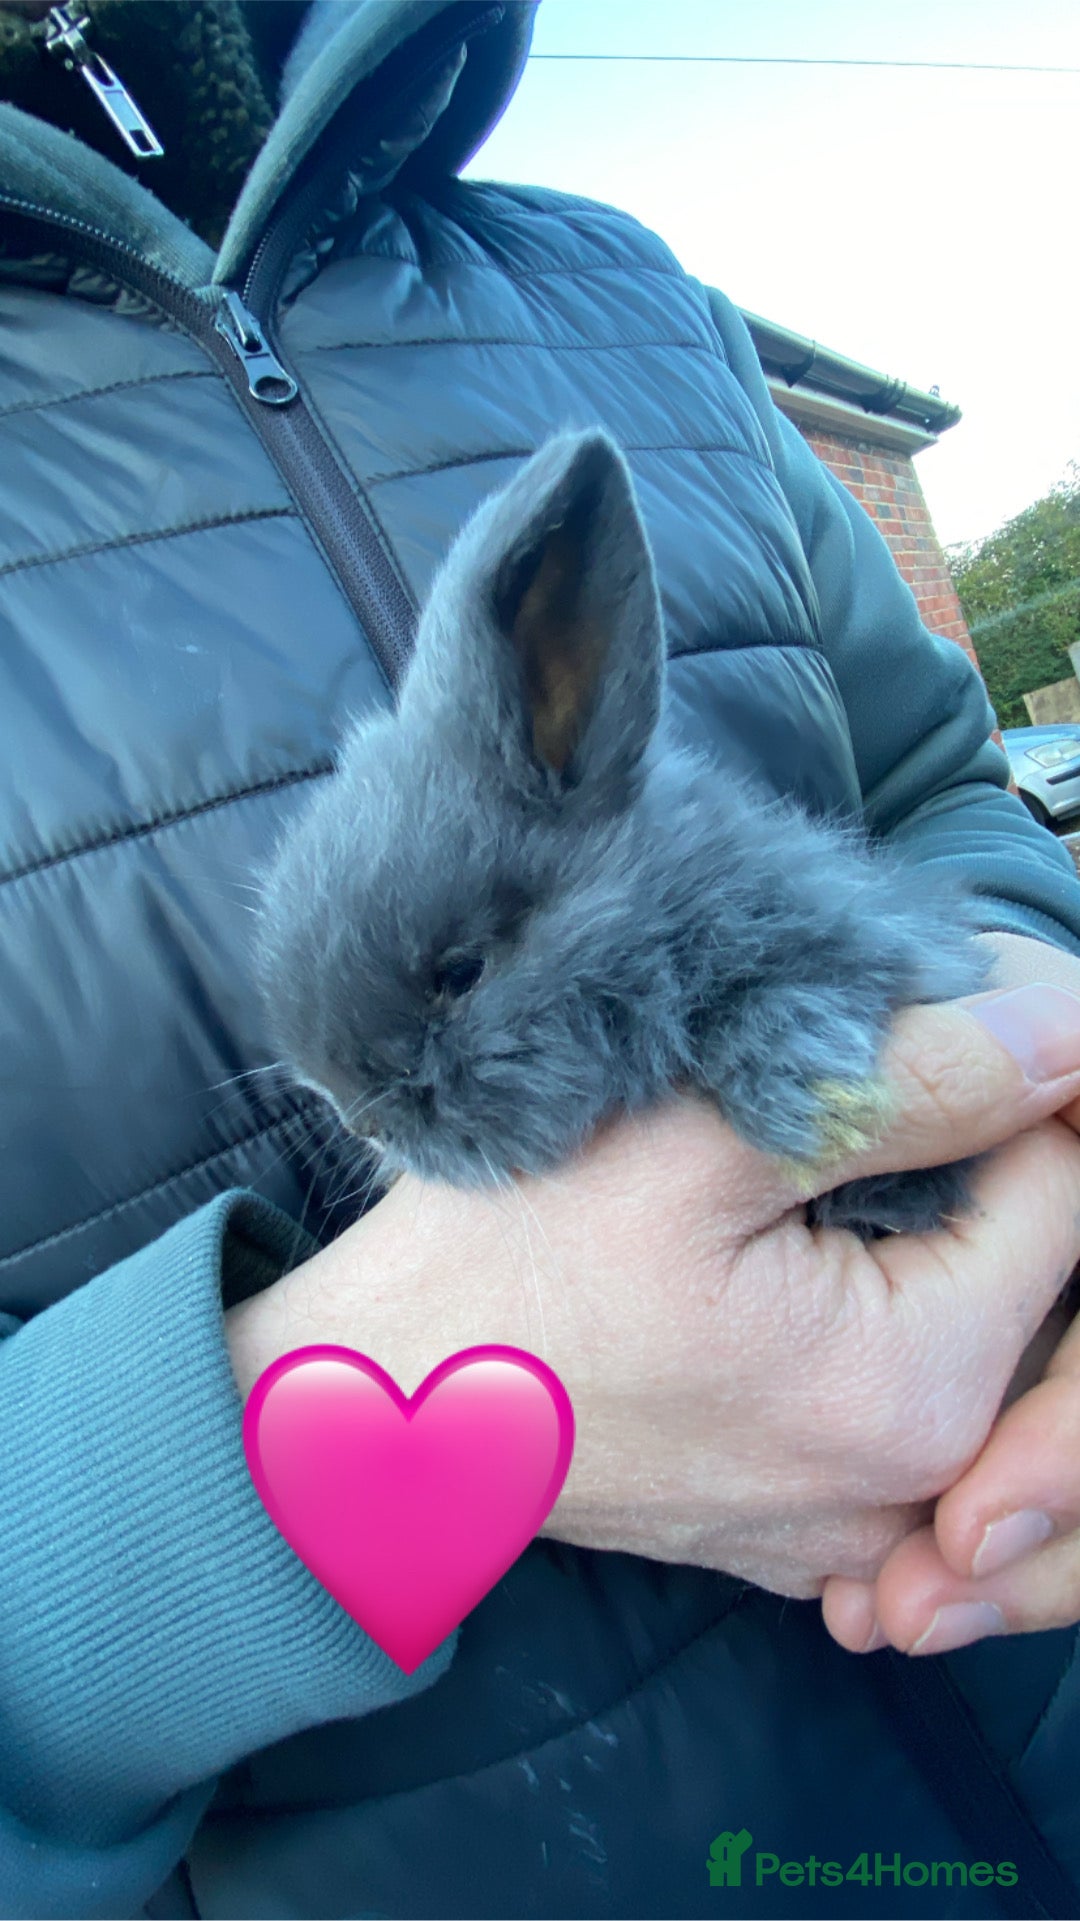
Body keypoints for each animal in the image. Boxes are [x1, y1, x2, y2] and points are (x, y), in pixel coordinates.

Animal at [254, 428, 999, 1242]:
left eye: (462, 973)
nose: (362, 1123)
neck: (669, 916)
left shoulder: (875, 945)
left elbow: (790, 998)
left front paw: (816, 1108)